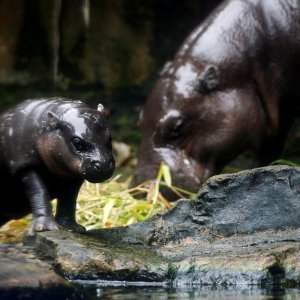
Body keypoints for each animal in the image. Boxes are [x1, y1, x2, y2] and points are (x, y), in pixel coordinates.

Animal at [0, 97, 115, 236]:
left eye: (110, 139)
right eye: (77, 143)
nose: (104, 165)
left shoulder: (73, 175)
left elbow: (69, 199)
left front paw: (72, 228)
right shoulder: (25, 165)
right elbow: (38, 192)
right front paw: (45, 228)